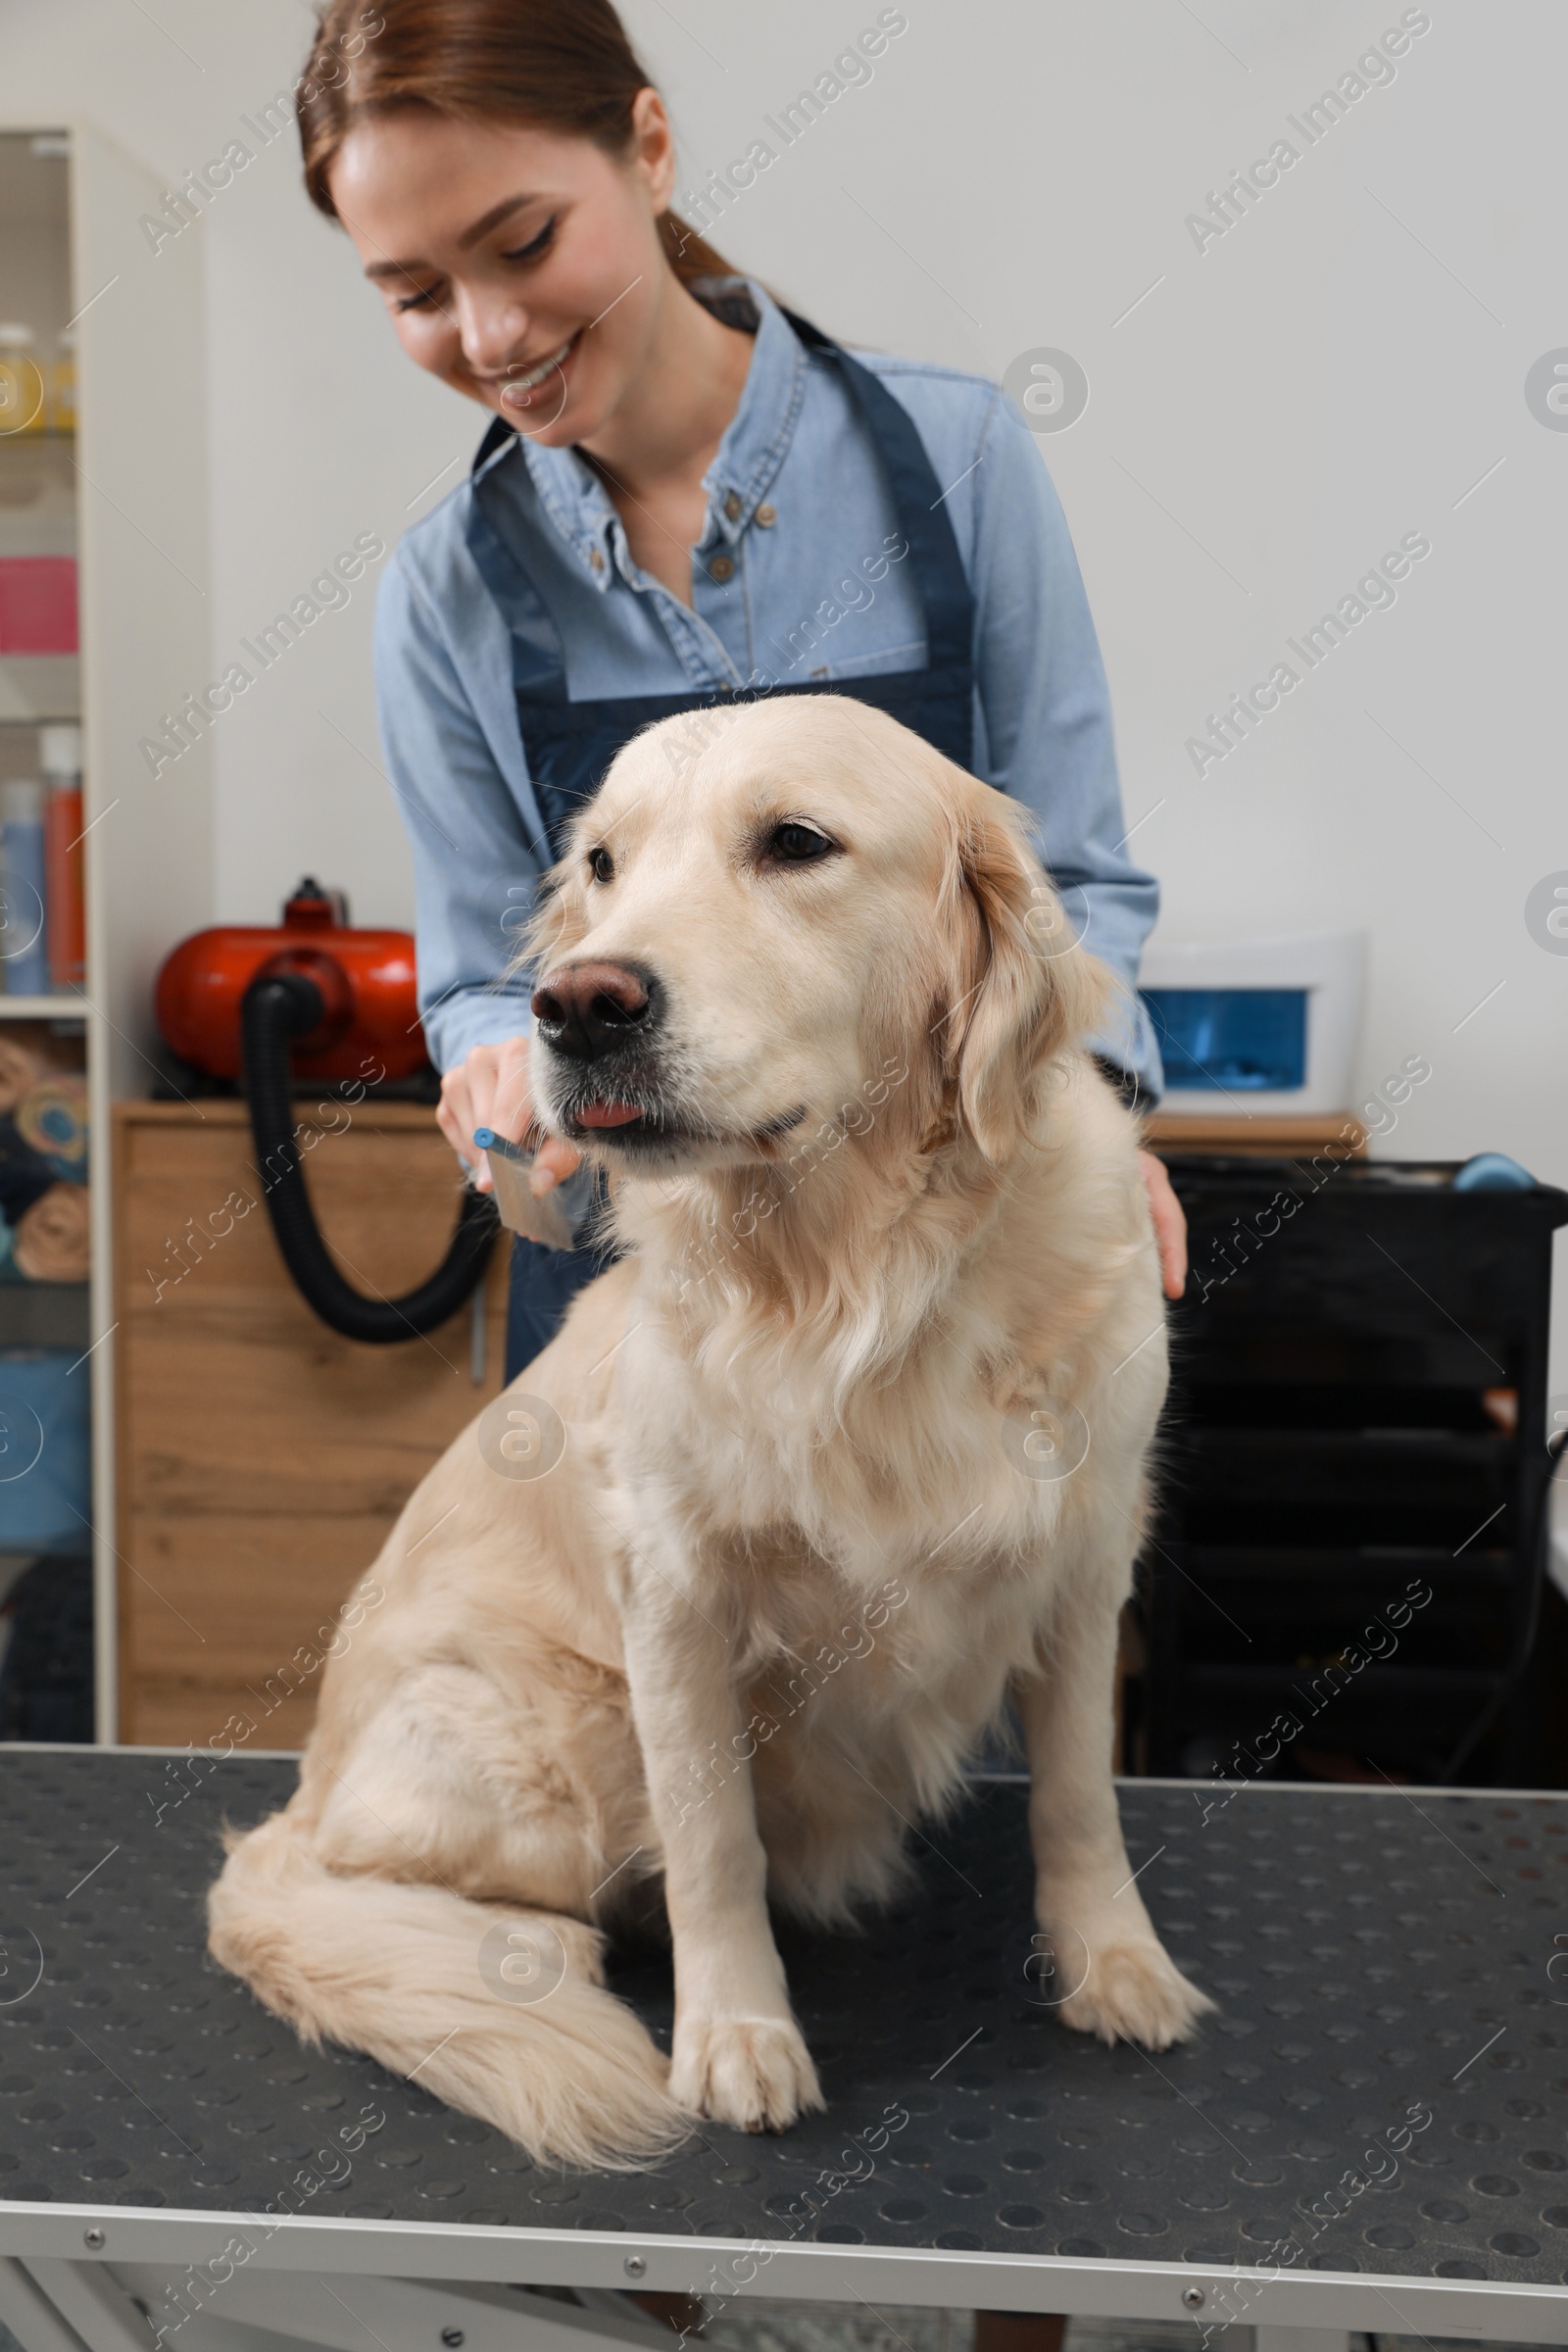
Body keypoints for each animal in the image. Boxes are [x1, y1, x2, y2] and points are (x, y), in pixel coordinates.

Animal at [208, 691, 1212, 2164]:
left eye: (796, 842)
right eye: (605, 864)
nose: (579, 1003)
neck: (854, 1277)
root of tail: (307, 1784)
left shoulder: (1085, 1560)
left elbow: (1080, 1796)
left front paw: (1116, 1966)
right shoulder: (674, 1599)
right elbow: (712, 1842)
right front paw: (739, 2037)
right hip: (557, 1743)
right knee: (365, 1875)